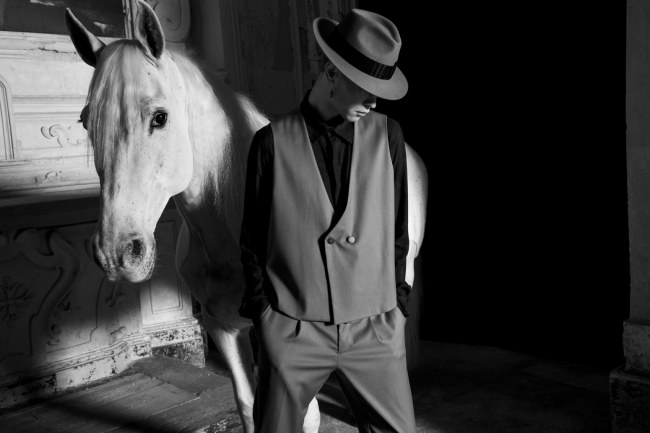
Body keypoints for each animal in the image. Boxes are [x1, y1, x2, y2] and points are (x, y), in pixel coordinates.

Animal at [65, 1, 428, 432]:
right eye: (86, 121)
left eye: (159, 117)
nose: (117, 253)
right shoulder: (223, 328)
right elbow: (249, 405)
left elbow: (307, 413)